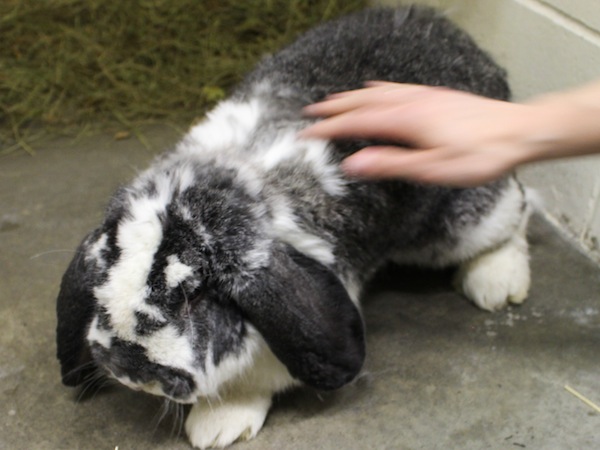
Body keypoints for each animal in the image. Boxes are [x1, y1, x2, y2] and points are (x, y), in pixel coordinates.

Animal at [56, 5, 532, 448]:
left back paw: (498, 285)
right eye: (101, 279)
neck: (227, 181)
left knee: (515, 208)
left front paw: (217, 427)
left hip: (460, 218)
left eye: (195, 295)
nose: (126, 367)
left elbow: (254, 379)